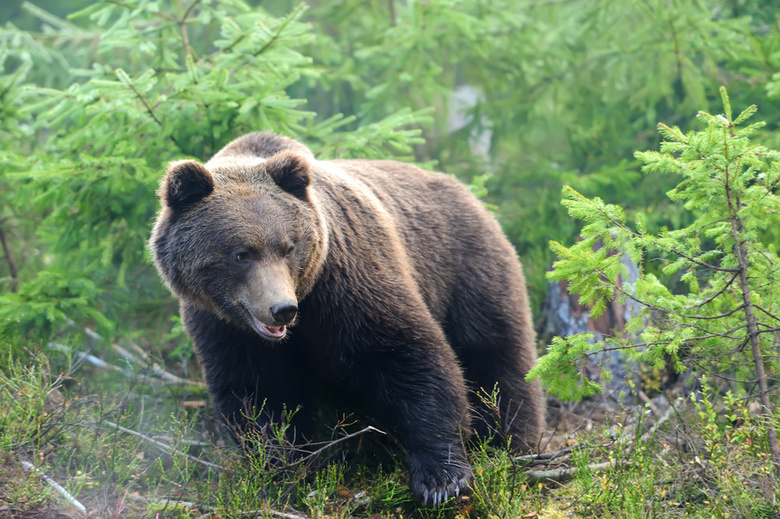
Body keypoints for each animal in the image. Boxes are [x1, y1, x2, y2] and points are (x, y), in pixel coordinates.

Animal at [149, 131, 544, 508]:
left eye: (288, 247)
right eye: (241, 254)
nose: (281, 308)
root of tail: (470, 193)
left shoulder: (346, 279)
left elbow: (408, 356)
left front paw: (441, 479)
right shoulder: (225, 327)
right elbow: (259, 396)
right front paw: (284, 473)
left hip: (467, 269)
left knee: (495, 357)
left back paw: (511, 443)